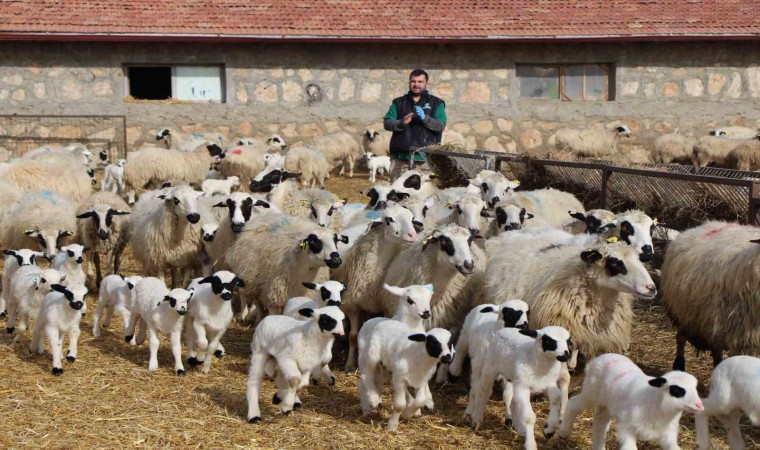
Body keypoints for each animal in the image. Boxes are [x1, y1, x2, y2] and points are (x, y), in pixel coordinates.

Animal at [338, 206, 422, 370]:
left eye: (411, 218)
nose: (412, 235)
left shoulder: (383, 306)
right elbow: (353, 336)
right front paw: (350, 364)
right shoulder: (352, 304)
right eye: (389, 220)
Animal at [556, 354, 704, 450]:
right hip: (591, 393)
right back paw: (564, 432)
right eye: (677, 391)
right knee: (574, 404)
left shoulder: (668, 435)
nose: (700, 406)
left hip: (608, 403)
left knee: (600, 422)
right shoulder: (627, 428)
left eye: (695, 387)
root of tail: (604, 356)